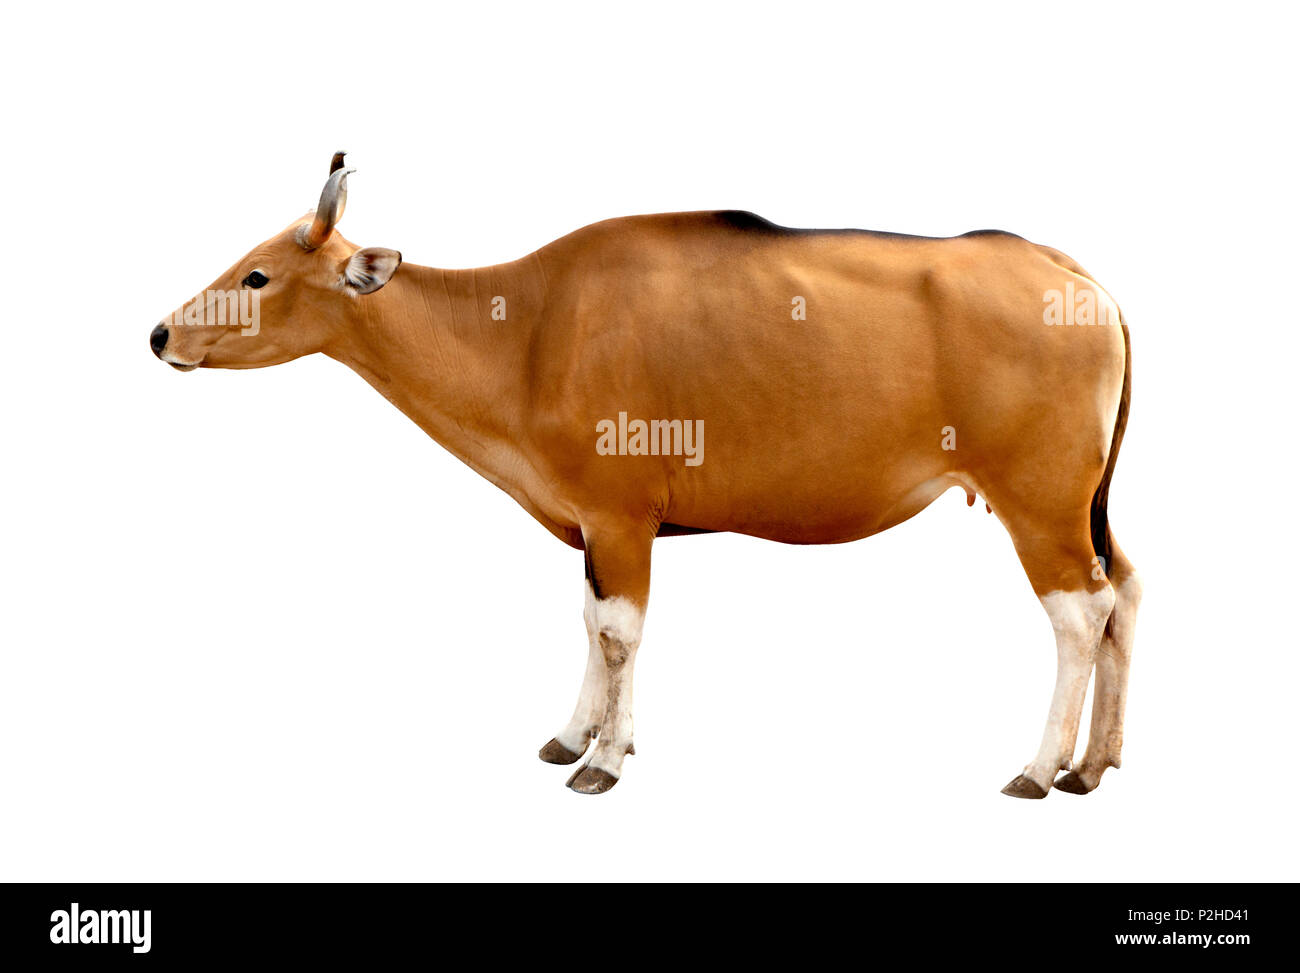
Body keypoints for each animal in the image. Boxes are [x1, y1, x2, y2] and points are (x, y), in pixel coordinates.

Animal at [151, 153, 1140, 797]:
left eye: (257, 274)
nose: (162, 333)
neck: (526, 333)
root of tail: (1070, 271)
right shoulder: (592, 526)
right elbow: (590, 623)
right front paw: (570, 735)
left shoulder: (622, 516)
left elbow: (622, 634)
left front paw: (604, 760)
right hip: (1087, 504)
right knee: (1124, 593)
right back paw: (1093, 764)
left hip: (1039, 502)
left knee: (1079, 614)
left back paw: (1039, 767)